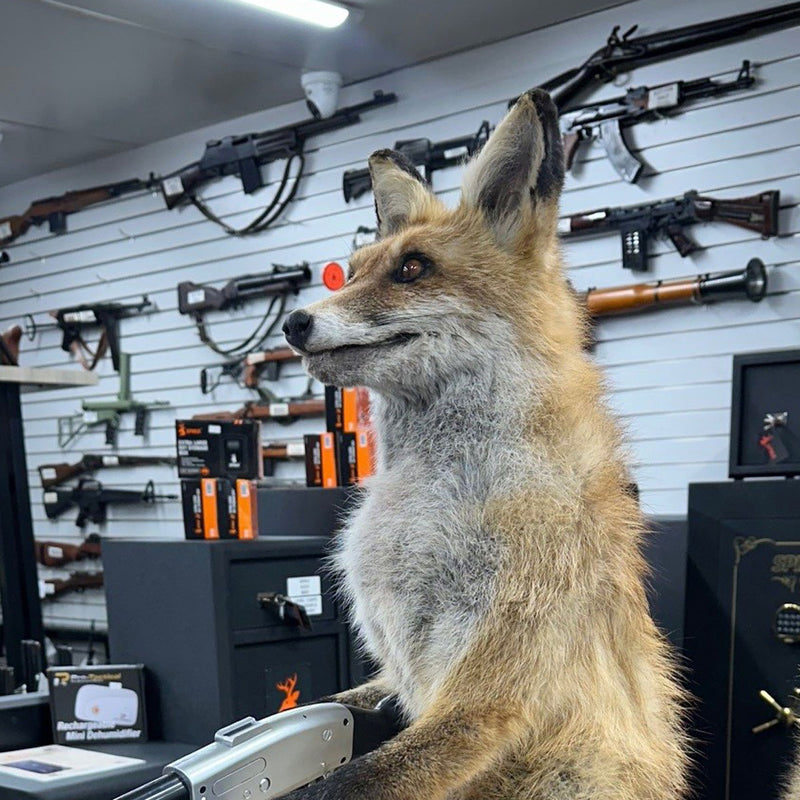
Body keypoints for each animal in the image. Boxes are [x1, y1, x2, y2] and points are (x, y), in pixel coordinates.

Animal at [281, 89, 689, 800]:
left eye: (412, 269)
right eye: (349, 274)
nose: (294, 322)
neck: (421, 500)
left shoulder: (500, 674)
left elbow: (352, 782)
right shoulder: (398, 670)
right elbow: (346, 704)